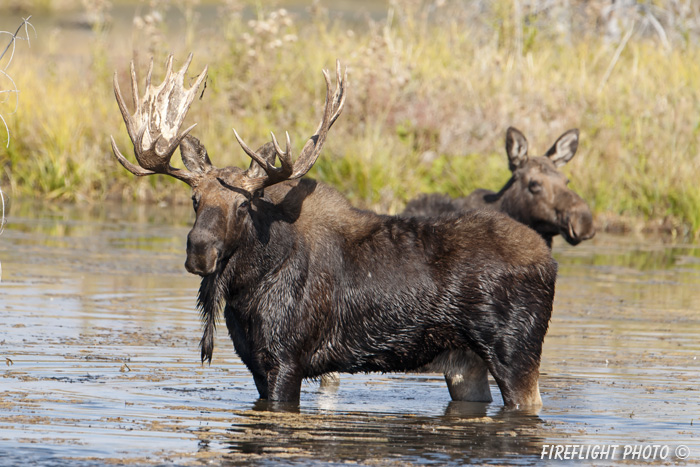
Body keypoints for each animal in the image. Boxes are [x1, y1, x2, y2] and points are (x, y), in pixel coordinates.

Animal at [110, 54, 556, 408]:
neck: (246, 290)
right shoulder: (255, 364)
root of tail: (549, 261)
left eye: (243, 204)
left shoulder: (288, 360)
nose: (199, 251)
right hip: (464, 364)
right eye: (194, 199)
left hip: (516, 353)